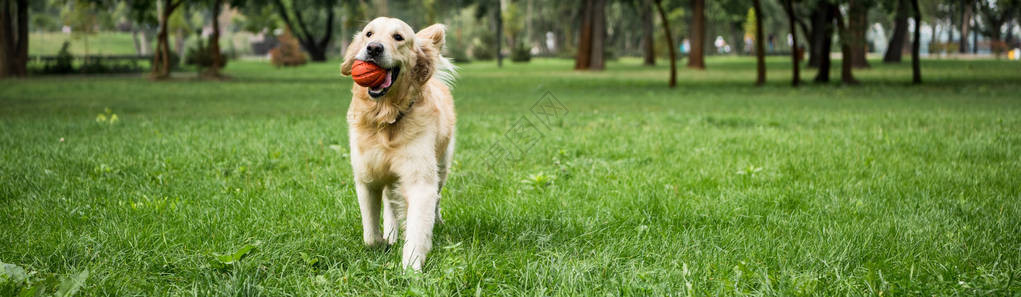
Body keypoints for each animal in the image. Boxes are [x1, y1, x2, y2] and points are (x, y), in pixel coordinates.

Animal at [341, 17, 457, 271]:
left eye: (398, 37)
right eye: (369, 33)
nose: (374, 48)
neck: (385, 118)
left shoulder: (420, 180)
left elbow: (418, 226)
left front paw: (411, 268)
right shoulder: (367, 178)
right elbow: (370, 235)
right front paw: (383, 241)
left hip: (442, 164)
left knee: (437, 198)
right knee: (390, 203)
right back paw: (391, 233)